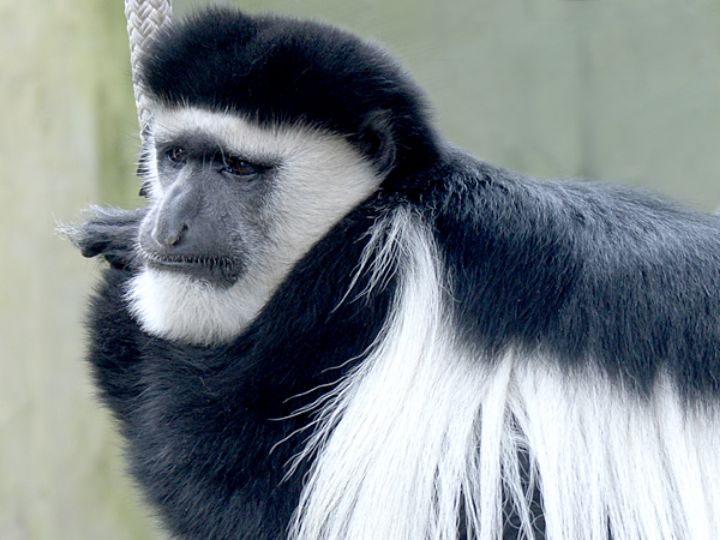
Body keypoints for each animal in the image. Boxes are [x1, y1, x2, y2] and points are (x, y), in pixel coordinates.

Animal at [67, 7, 720, 540]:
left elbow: (253, 494)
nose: (167, 230)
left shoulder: (361, 310)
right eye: (176, 156)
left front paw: (120, 286)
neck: (381, 206)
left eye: (238, 168)